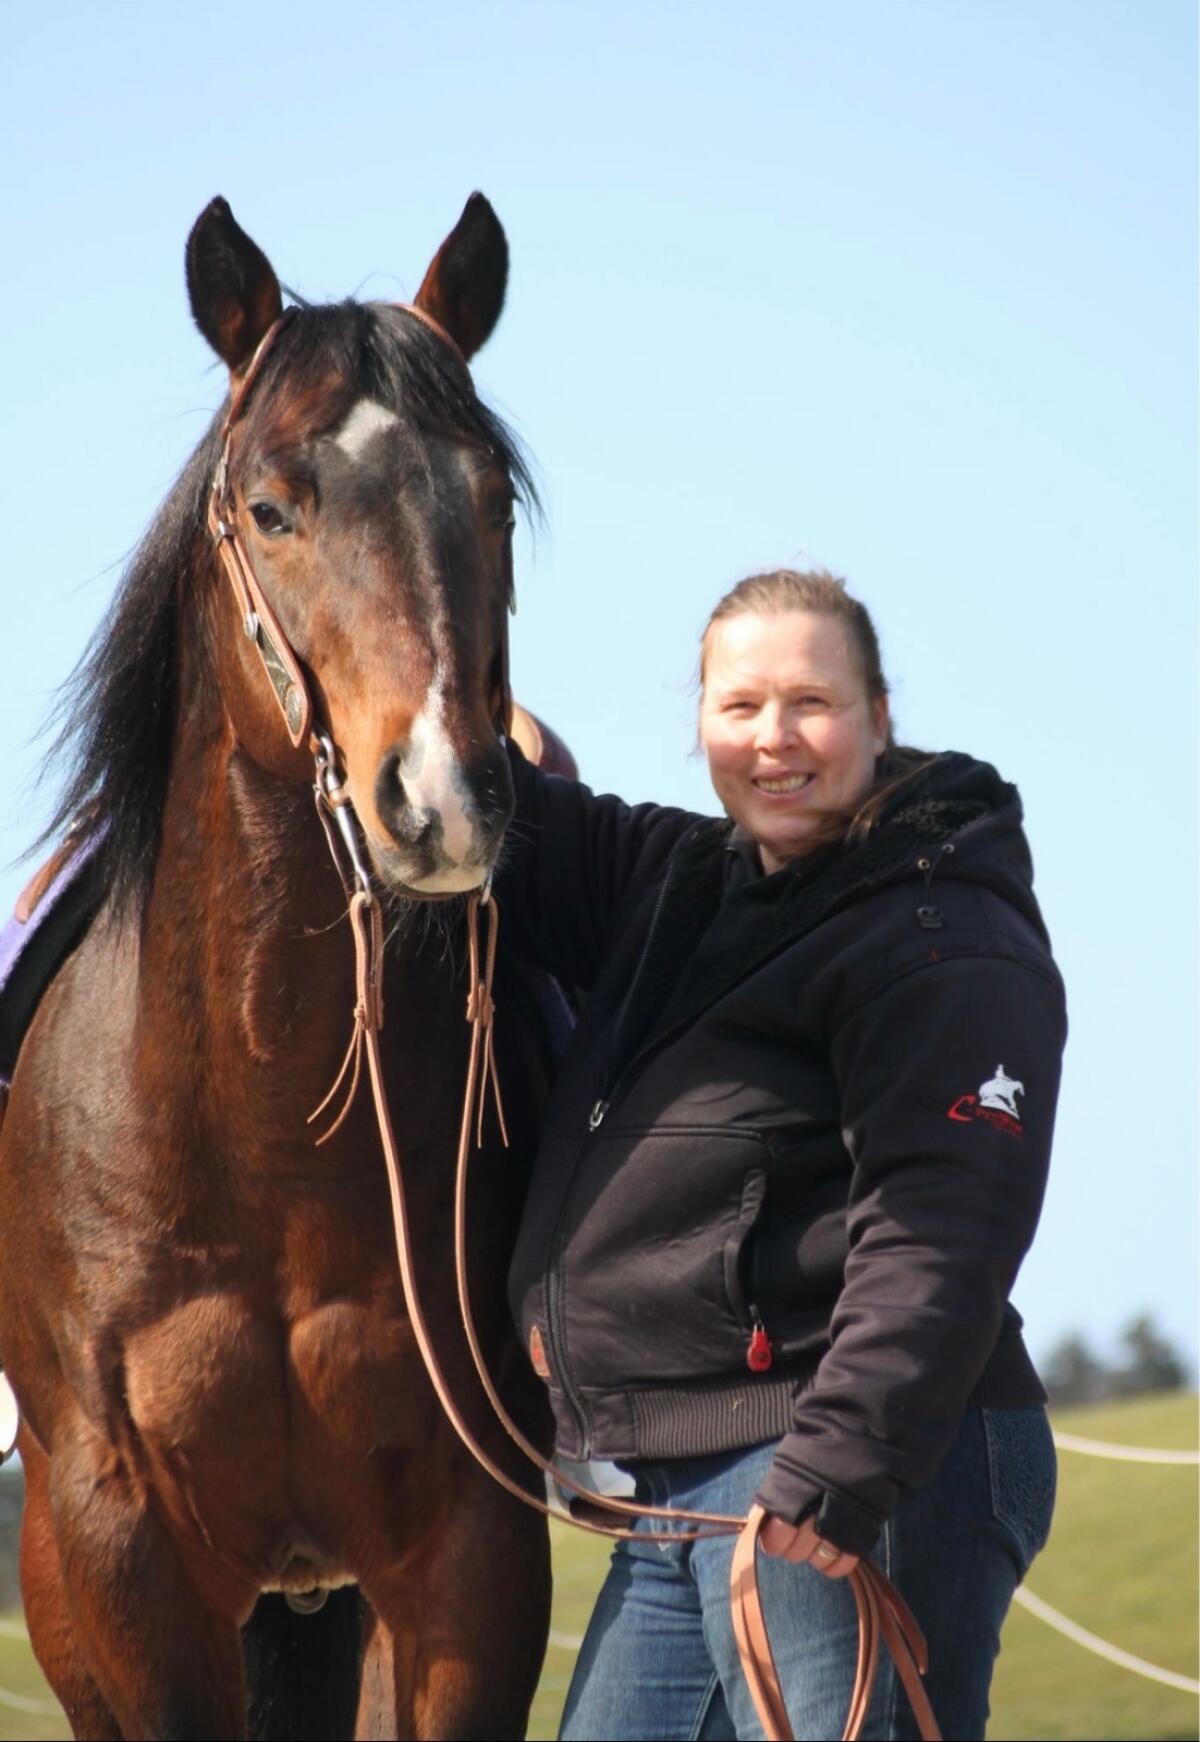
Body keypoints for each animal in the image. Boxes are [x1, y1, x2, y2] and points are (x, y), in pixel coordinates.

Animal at [0, 194, 558, 1740]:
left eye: (492, 498)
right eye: (270, 507)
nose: (442, 796)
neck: (262, 1129)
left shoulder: (467, 1551)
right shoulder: (126, 1556)